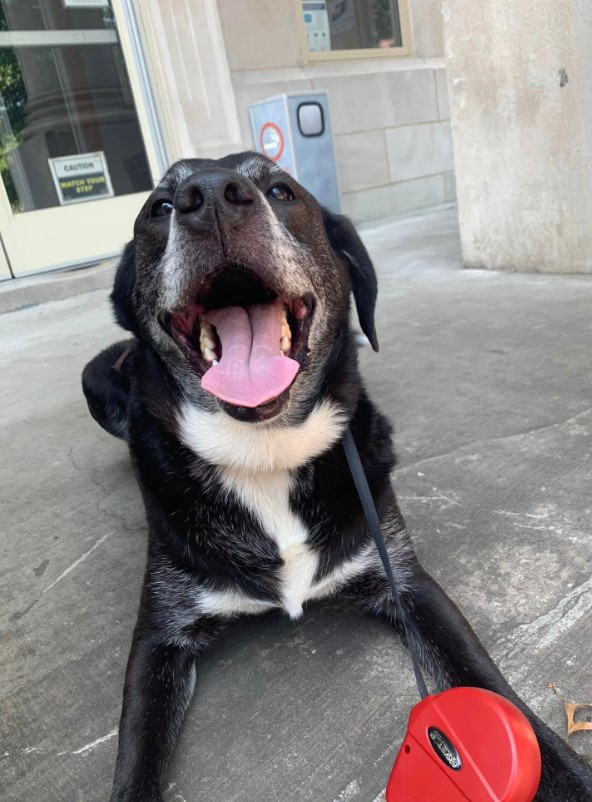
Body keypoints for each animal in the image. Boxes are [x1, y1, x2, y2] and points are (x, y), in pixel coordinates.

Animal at [82, 152, 592, 800]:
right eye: (160, 207)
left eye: (281, 189)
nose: (211, 195)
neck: (264, 451)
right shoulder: (159, 636)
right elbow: (137, 761)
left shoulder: (409, 583)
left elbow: (485, 685)